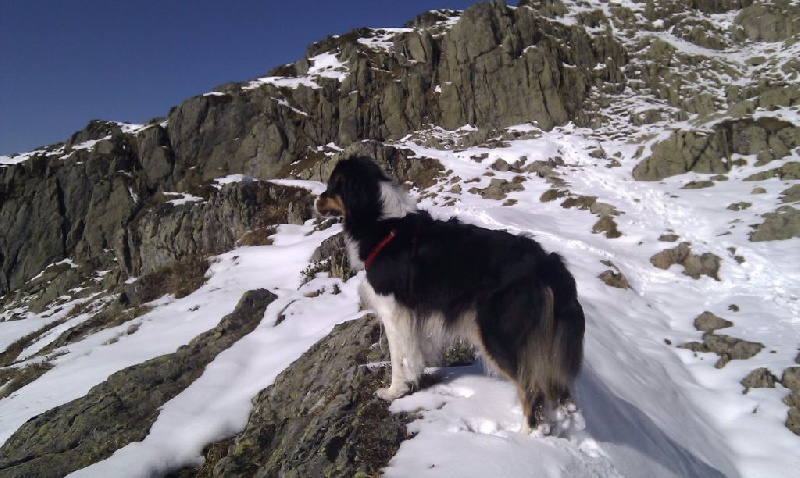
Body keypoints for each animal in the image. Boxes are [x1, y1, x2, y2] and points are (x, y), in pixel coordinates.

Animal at [316, 155, 584, 432]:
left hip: (499, 333)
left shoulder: (393, 311)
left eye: (332, 185)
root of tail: (549, 264)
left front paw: (393, 392)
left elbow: (398, 357)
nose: (316, 201)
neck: (384, 226)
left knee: (530, 388)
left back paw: (524, 433)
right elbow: (414, 353)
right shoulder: (412, 315)